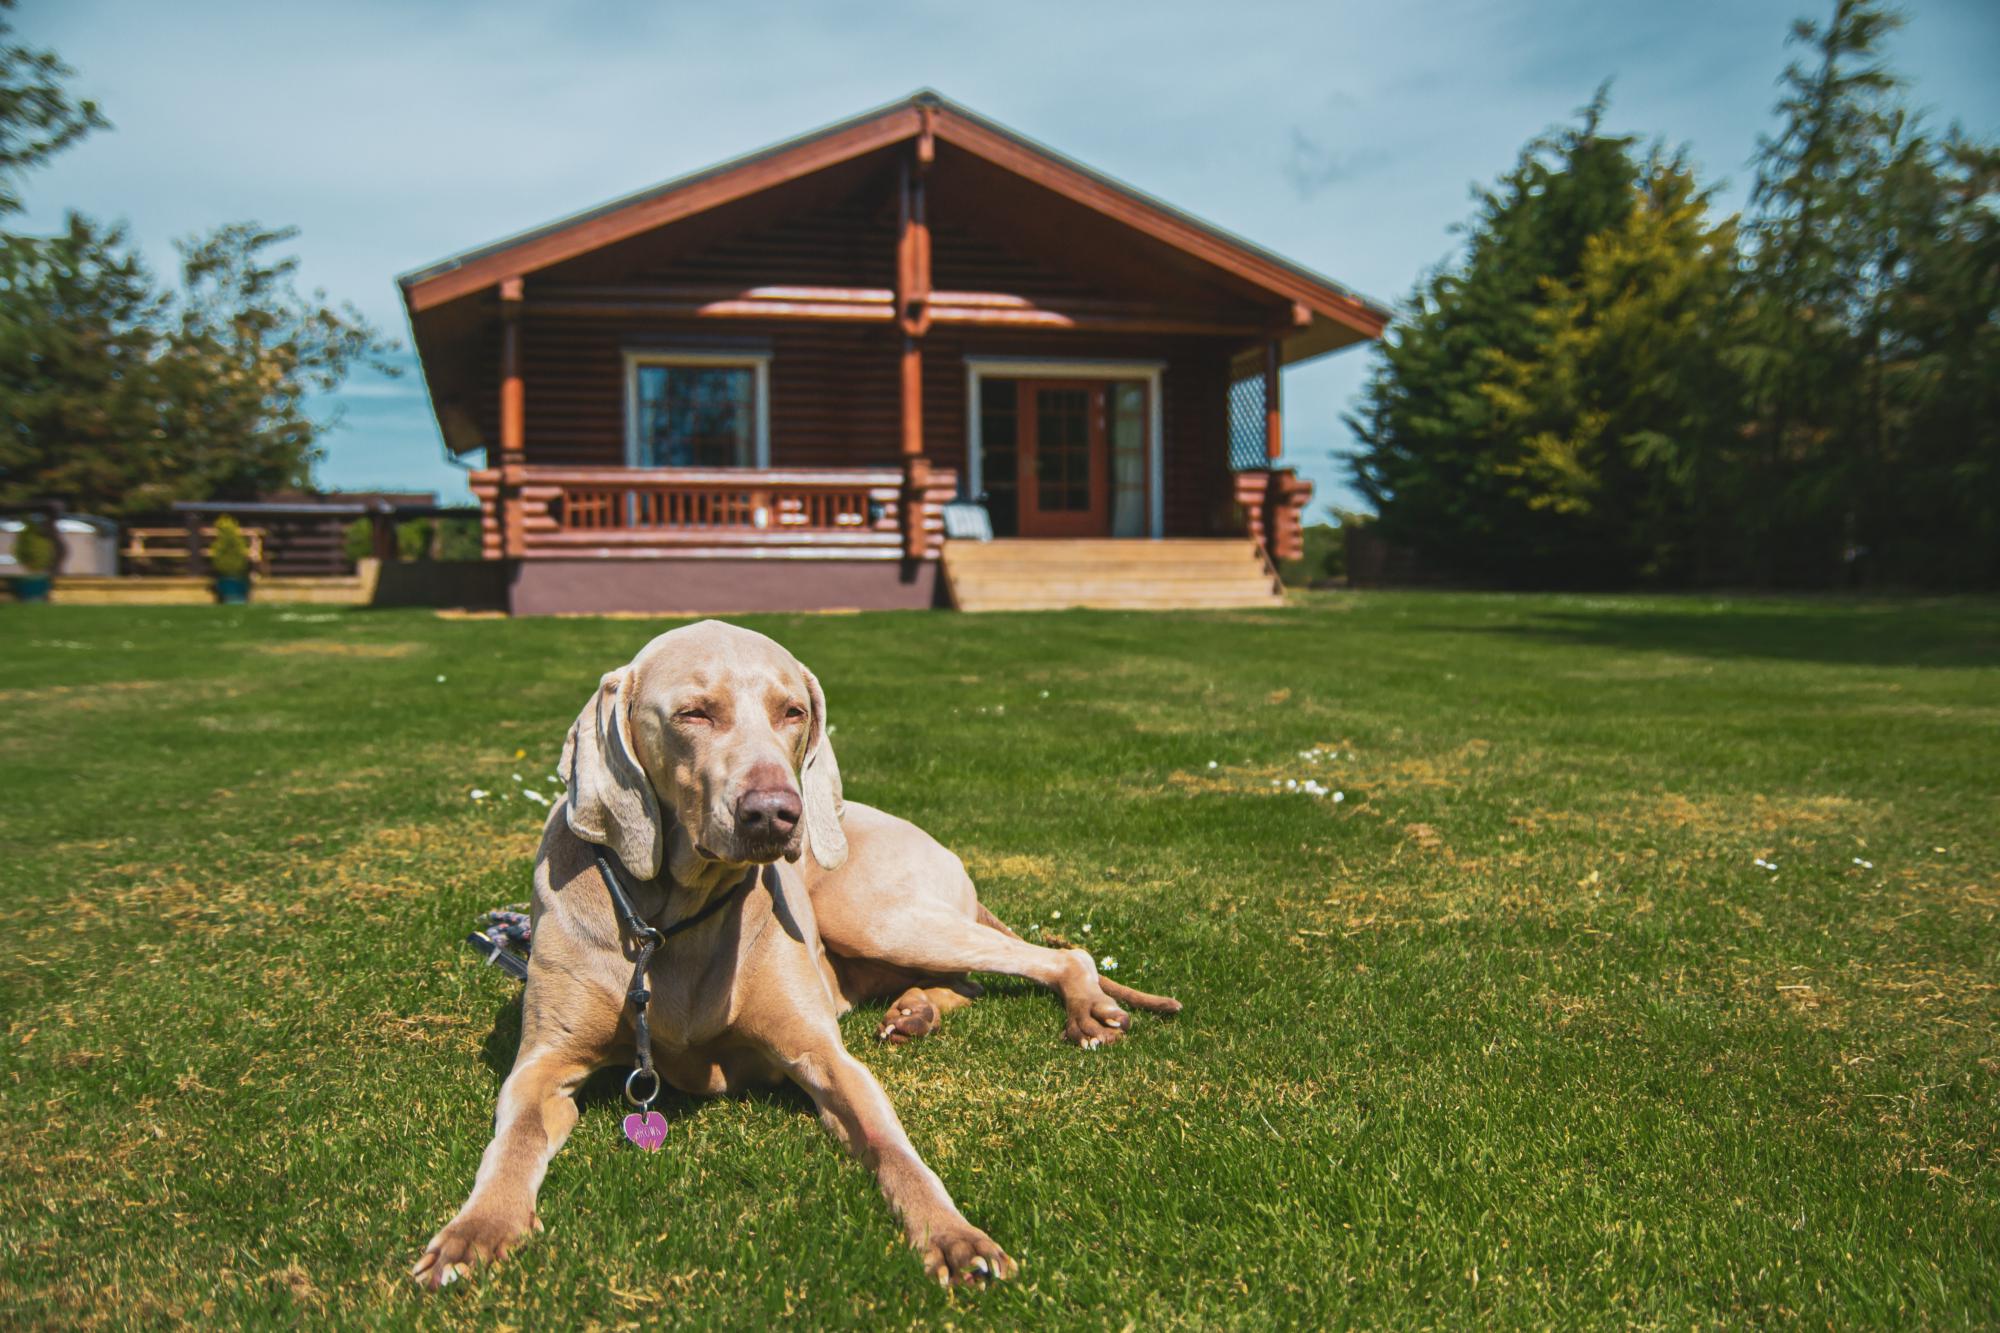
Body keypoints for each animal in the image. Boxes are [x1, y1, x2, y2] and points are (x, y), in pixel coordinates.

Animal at [414, 620, 1176, 1288]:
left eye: (794, 711)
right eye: (693, 713)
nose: (776, 814)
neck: (671, 916)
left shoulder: (823, 1054)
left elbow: (891, 1142)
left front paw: (954, 1234)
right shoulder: (542, 1064)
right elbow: (514, 1139)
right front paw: (475, 1230)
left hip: (875, 913)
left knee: (1060, 956)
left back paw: (1082, 1011)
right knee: (969, 980)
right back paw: (916, 1011)